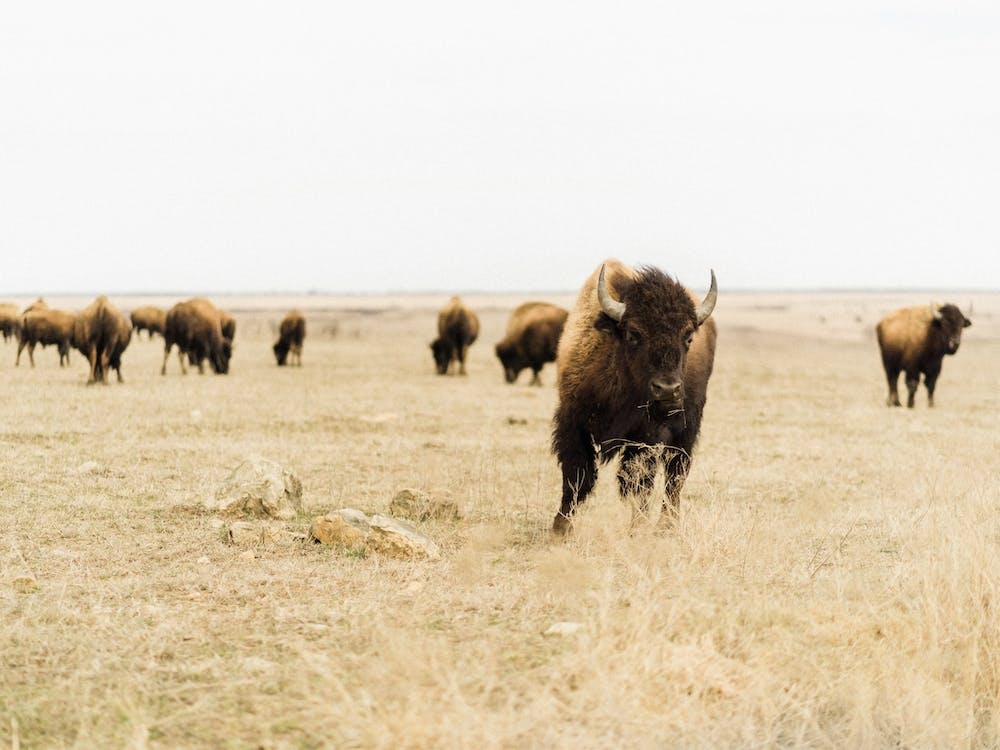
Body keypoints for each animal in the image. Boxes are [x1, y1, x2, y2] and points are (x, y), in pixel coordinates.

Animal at [551, 260, 717, 534]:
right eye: (633, 334)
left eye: (688, 336)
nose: (668, 389)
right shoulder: (572, 422)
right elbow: (576, 475)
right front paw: (561, 527)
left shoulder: (645, 436)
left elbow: (638, 482)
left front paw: (637, 528)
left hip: (687, 428)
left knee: (675, 475)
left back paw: (666, 525)